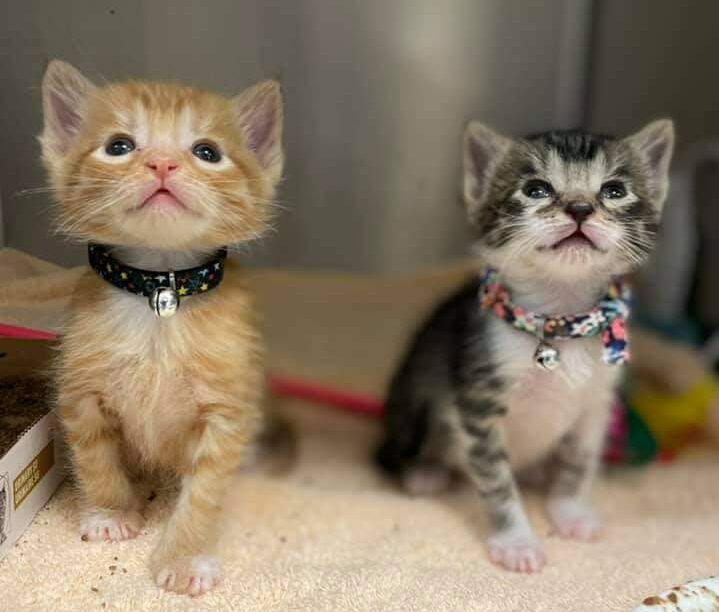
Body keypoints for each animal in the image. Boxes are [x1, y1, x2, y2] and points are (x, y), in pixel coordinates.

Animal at [40, 59, 284, 596]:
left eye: (207, 152)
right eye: (119, 146)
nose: (163, 164)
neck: (159, 293)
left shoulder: (227, 411)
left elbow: (205, 493)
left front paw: (186, 557)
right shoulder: (80, 392)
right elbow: (96, 459)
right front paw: (111, 512)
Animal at [376, 120, 676, 572]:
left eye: (614, 190)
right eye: (536, 189)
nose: (580, 208)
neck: (562, 321)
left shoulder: (596, 403)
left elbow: (578, 464)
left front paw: (570, 512)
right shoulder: (478, 404)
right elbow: (496, 481)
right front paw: (516, 541)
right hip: (411, 405)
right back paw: (423, 473)